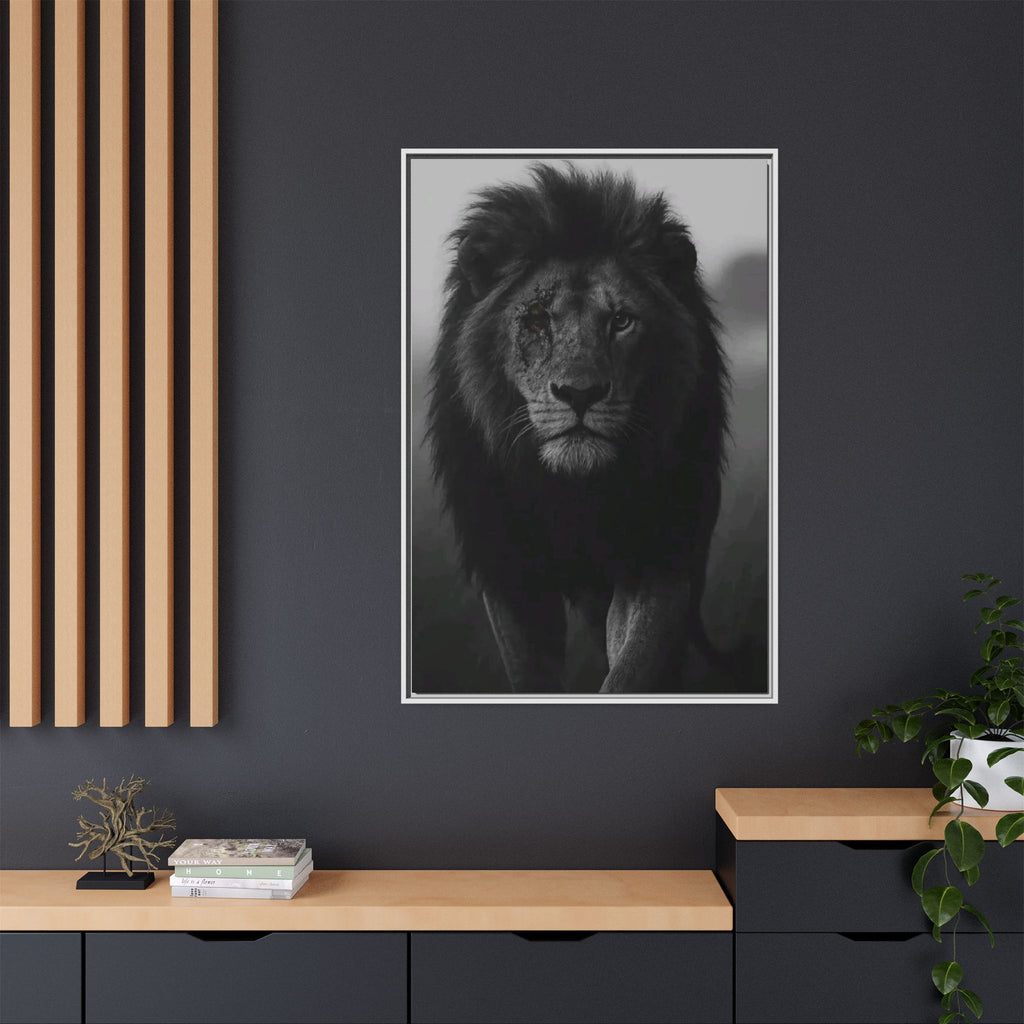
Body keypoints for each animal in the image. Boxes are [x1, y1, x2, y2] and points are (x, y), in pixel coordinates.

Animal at [426, 163, 729, 693]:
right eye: (536, 319)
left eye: (622, 321)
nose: (580, 393)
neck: (574, 493)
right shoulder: (508, 569)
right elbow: (530, 674)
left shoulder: (659, 555)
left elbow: (634, 666)